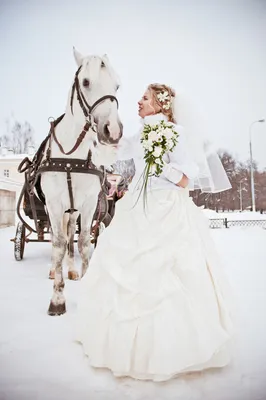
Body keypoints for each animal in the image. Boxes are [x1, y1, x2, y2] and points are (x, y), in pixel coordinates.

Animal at [40, 47, 122, 316]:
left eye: (116, 85)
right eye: (86, 82)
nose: (113, 131)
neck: (70, 155)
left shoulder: (87, 204)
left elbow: (85, 242)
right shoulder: (54, 204)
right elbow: (57, 244)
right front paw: (57, 299)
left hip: (73, 211)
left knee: (70, 238)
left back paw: (71, 268)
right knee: (59, 240)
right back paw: (55, 270)